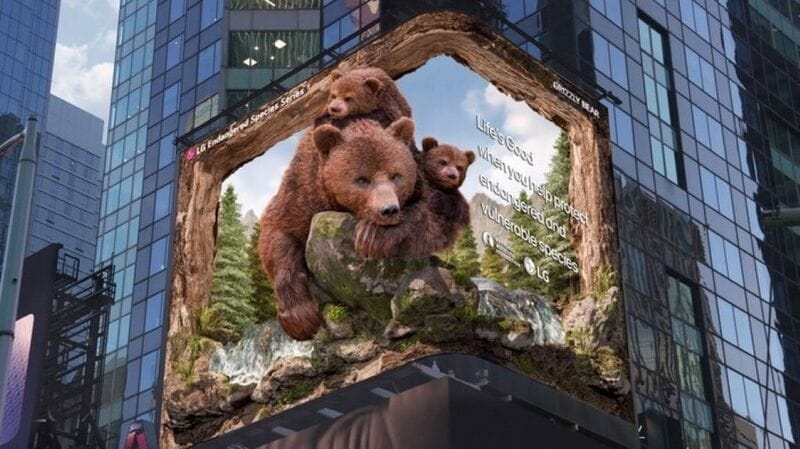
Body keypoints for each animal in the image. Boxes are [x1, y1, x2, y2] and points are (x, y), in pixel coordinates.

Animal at [259, 117, 418, 340]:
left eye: (396, 175)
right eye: (362, 179)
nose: (388, 210)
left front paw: (371, 235)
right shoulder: (303, 189)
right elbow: (277, 232)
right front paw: (301, 320)